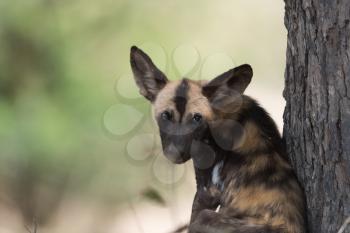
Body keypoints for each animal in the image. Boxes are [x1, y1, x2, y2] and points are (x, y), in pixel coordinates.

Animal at [130, 46, 304, 233]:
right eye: (165, 116)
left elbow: (192, 220)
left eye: (197, 118)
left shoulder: (207, 192)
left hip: (207, 217)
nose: (175, 153)